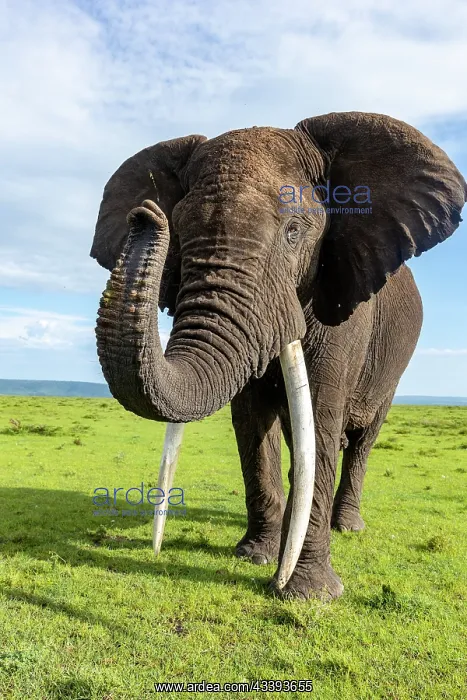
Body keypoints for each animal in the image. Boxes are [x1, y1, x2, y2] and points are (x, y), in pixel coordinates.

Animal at [91, 112, 466, 601]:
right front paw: (255, 556)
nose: (145, 215)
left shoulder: (341, 303)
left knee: (361, 439)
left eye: (294, 232)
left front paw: (308, 594)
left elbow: (321, 418)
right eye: (181, 232)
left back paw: (348, 527)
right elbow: (252, 421)